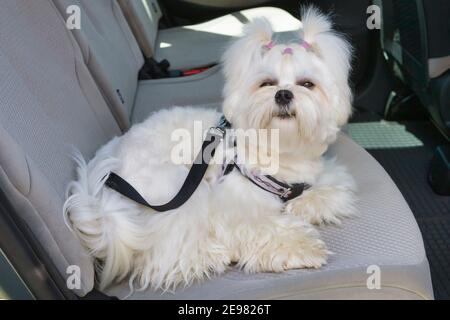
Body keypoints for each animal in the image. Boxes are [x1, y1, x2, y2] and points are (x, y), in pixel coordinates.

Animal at [65, 6, 356, 292]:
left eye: (307, 84)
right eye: (267, 83)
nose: (283, 94)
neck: (277, 150)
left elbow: (328, 193)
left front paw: (304, 205)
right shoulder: (233, 204)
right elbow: (260, 226)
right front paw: (303, 246)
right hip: (174, 191)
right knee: (165, 251)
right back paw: (207, 255)